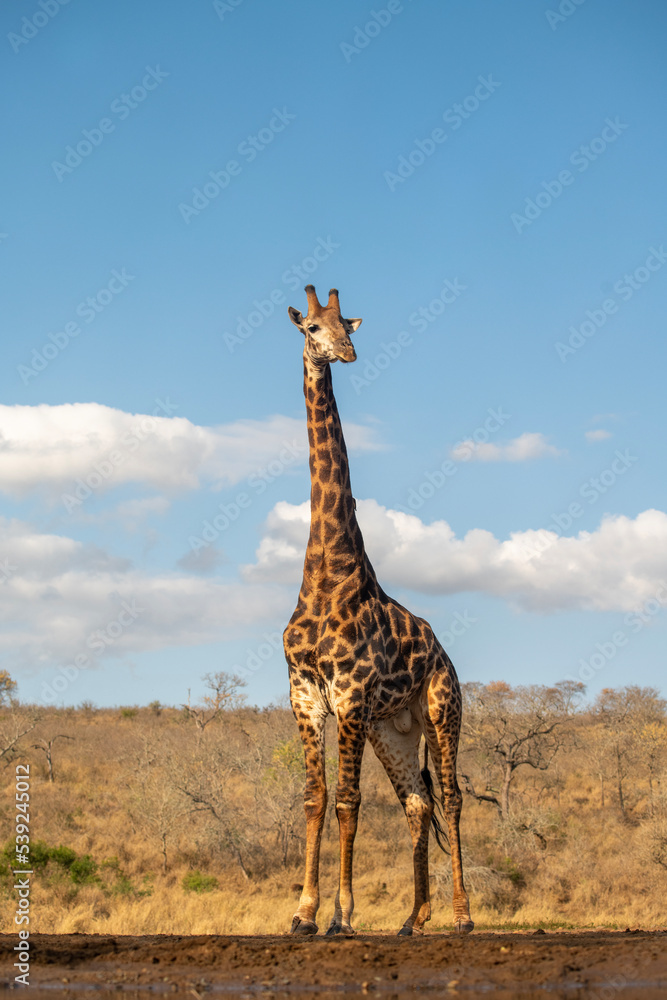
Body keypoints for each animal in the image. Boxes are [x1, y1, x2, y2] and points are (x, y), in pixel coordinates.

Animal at [283, 284, 473, 937]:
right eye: (312, 328)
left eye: (347, 323)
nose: (346, 352)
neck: (326, 572)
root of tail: (445, 654)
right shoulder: (306, 694)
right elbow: (315, 798)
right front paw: (302, 913)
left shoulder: (349, 696)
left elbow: (348, 802)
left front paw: (341, 916)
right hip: (395, 729)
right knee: (417, 802)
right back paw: (413, 920)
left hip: (442, 710)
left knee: (452, 798)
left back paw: (462, 917)